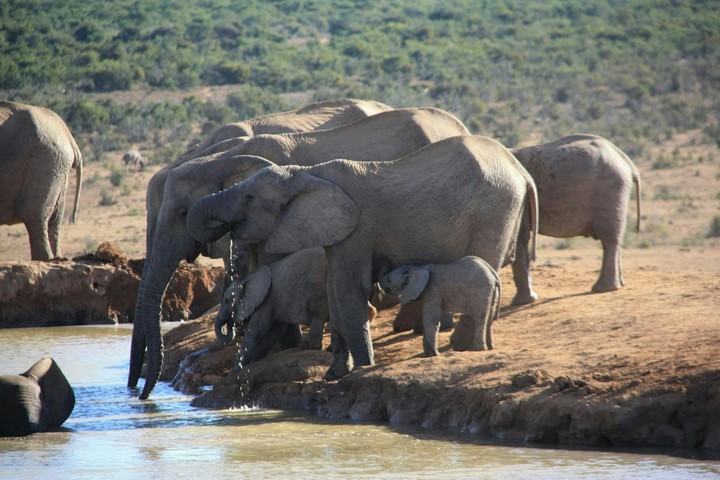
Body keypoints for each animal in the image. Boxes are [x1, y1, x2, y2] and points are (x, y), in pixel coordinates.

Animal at [186, 135, 538, 380]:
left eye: (249, 197)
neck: (309, 174)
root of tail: (521, 170)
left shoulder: (356, 229)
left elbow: (347, 290)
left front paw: (362, 369)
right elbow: (334, 292)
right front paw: (335, 374)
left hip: (494, 209)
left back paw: (463, 346)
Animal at [510, 134, 641, 301]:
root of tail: (627, 162)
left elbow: (520, 237)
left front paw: (523, 301)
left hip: (611, 187)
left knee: (609, 237)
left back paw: (603, 289)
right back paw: (619, 284)